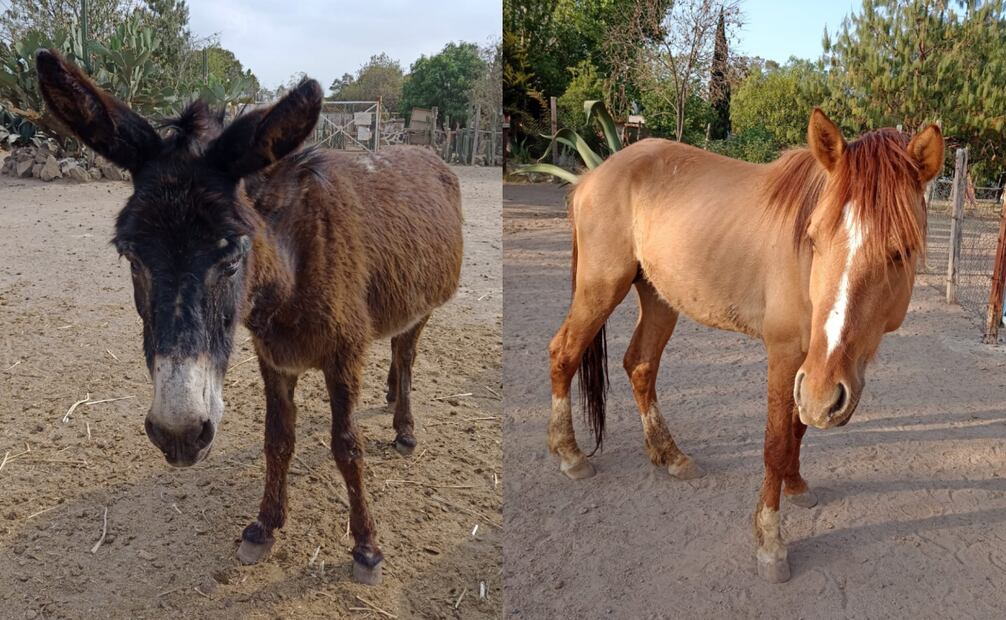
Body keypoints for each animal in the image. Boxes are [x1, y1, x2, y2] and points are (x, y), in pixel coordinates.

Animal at [36, 49, 464, 585]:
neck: (292, 271)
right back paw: (387, 397)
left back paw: (403, 426)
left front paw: (366, 547)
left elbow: (348, 448)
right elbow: (277, 439)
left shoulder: (344, 356)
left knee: (406, 353)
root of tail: (427, 154)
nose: (179, 435)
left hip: (424, 305)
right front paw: (264, 526)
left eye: (233, 255)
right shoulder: (274, 358)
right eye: (130, 256)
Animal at [546, 108, 942, 582]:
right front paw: (770, 542)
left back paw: (670, 455)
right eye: (814, 238)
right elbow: (775, 441)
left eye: (901, 252)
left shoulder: (811, 368)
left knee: (640, 365)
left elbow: (798, 428)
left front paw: (797, 486)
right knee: (564, 354)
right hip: (600, 288)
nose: (826, 396)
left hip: (659, 297)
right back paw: (570, 455)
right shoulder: (788, 355)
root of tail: (595, 173)